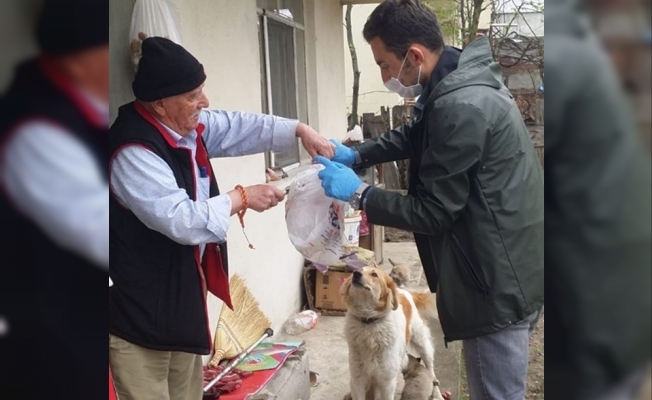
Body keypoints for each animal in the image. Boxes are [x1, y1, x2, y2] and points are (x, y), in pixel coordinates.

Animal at [340, 266, 445, 400]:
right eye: (360, 270)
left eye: (374, 274)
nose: (356, 273)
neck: (369, 323)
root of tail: (406, 292)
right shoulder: (358, 380)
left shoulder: (387, 382)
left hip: (423, 345)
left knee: (432, 373)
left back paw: (437, 394)